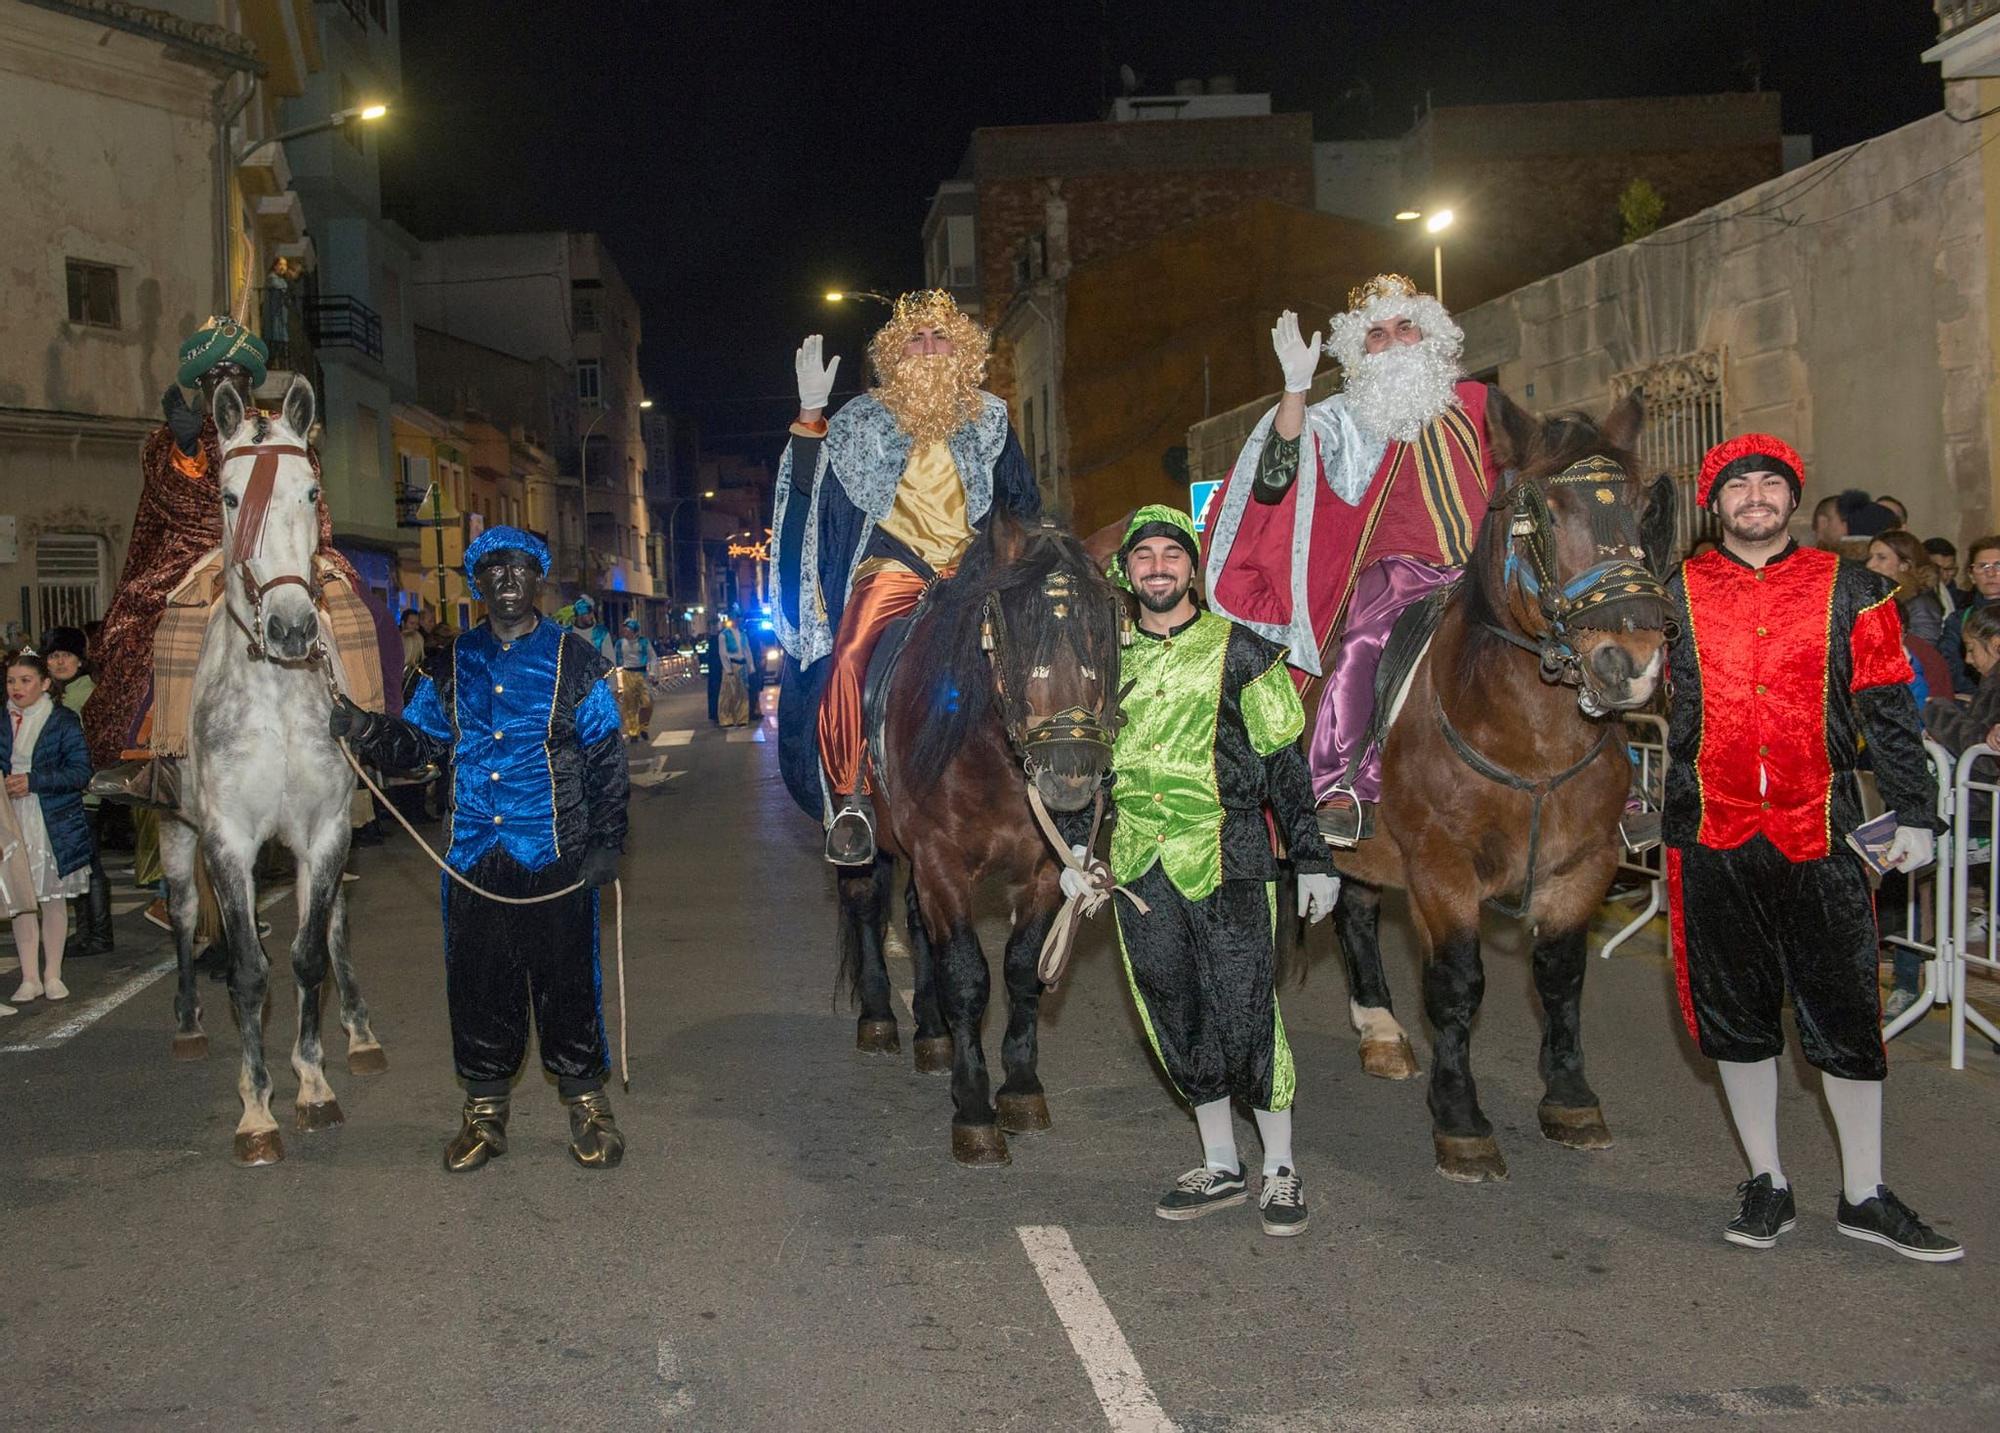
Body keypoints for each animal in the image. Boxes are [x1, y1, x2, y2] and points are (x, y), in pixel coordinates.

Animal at [164, 374, 386, 1168]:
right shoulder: (227, 839)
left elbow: (310, 955)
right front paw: (256, 1108)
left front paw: (314, 1084)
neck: (279, 693)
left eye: (311, 491)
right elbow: (249, 968)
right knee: (184, 913)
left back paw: (361, 1033)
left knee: (339, 924)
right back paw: (189, 1023)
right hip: (174, 828)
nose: (292, 627)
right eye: (231, 498)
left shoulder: (324, 832)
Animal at [1336, 394, 1680, 1184]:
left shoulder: (1584, 865)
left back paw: (1379, 1028)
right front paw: (1460, 1119)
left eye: (1644, 508)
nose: (1630, 662)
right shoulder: (1441, 868)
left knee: (1357, 911)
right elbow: (1458, 984)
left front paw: (1570, 1096)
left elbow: (1560, 976)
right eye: (1541, 512)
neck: (1532, 737)